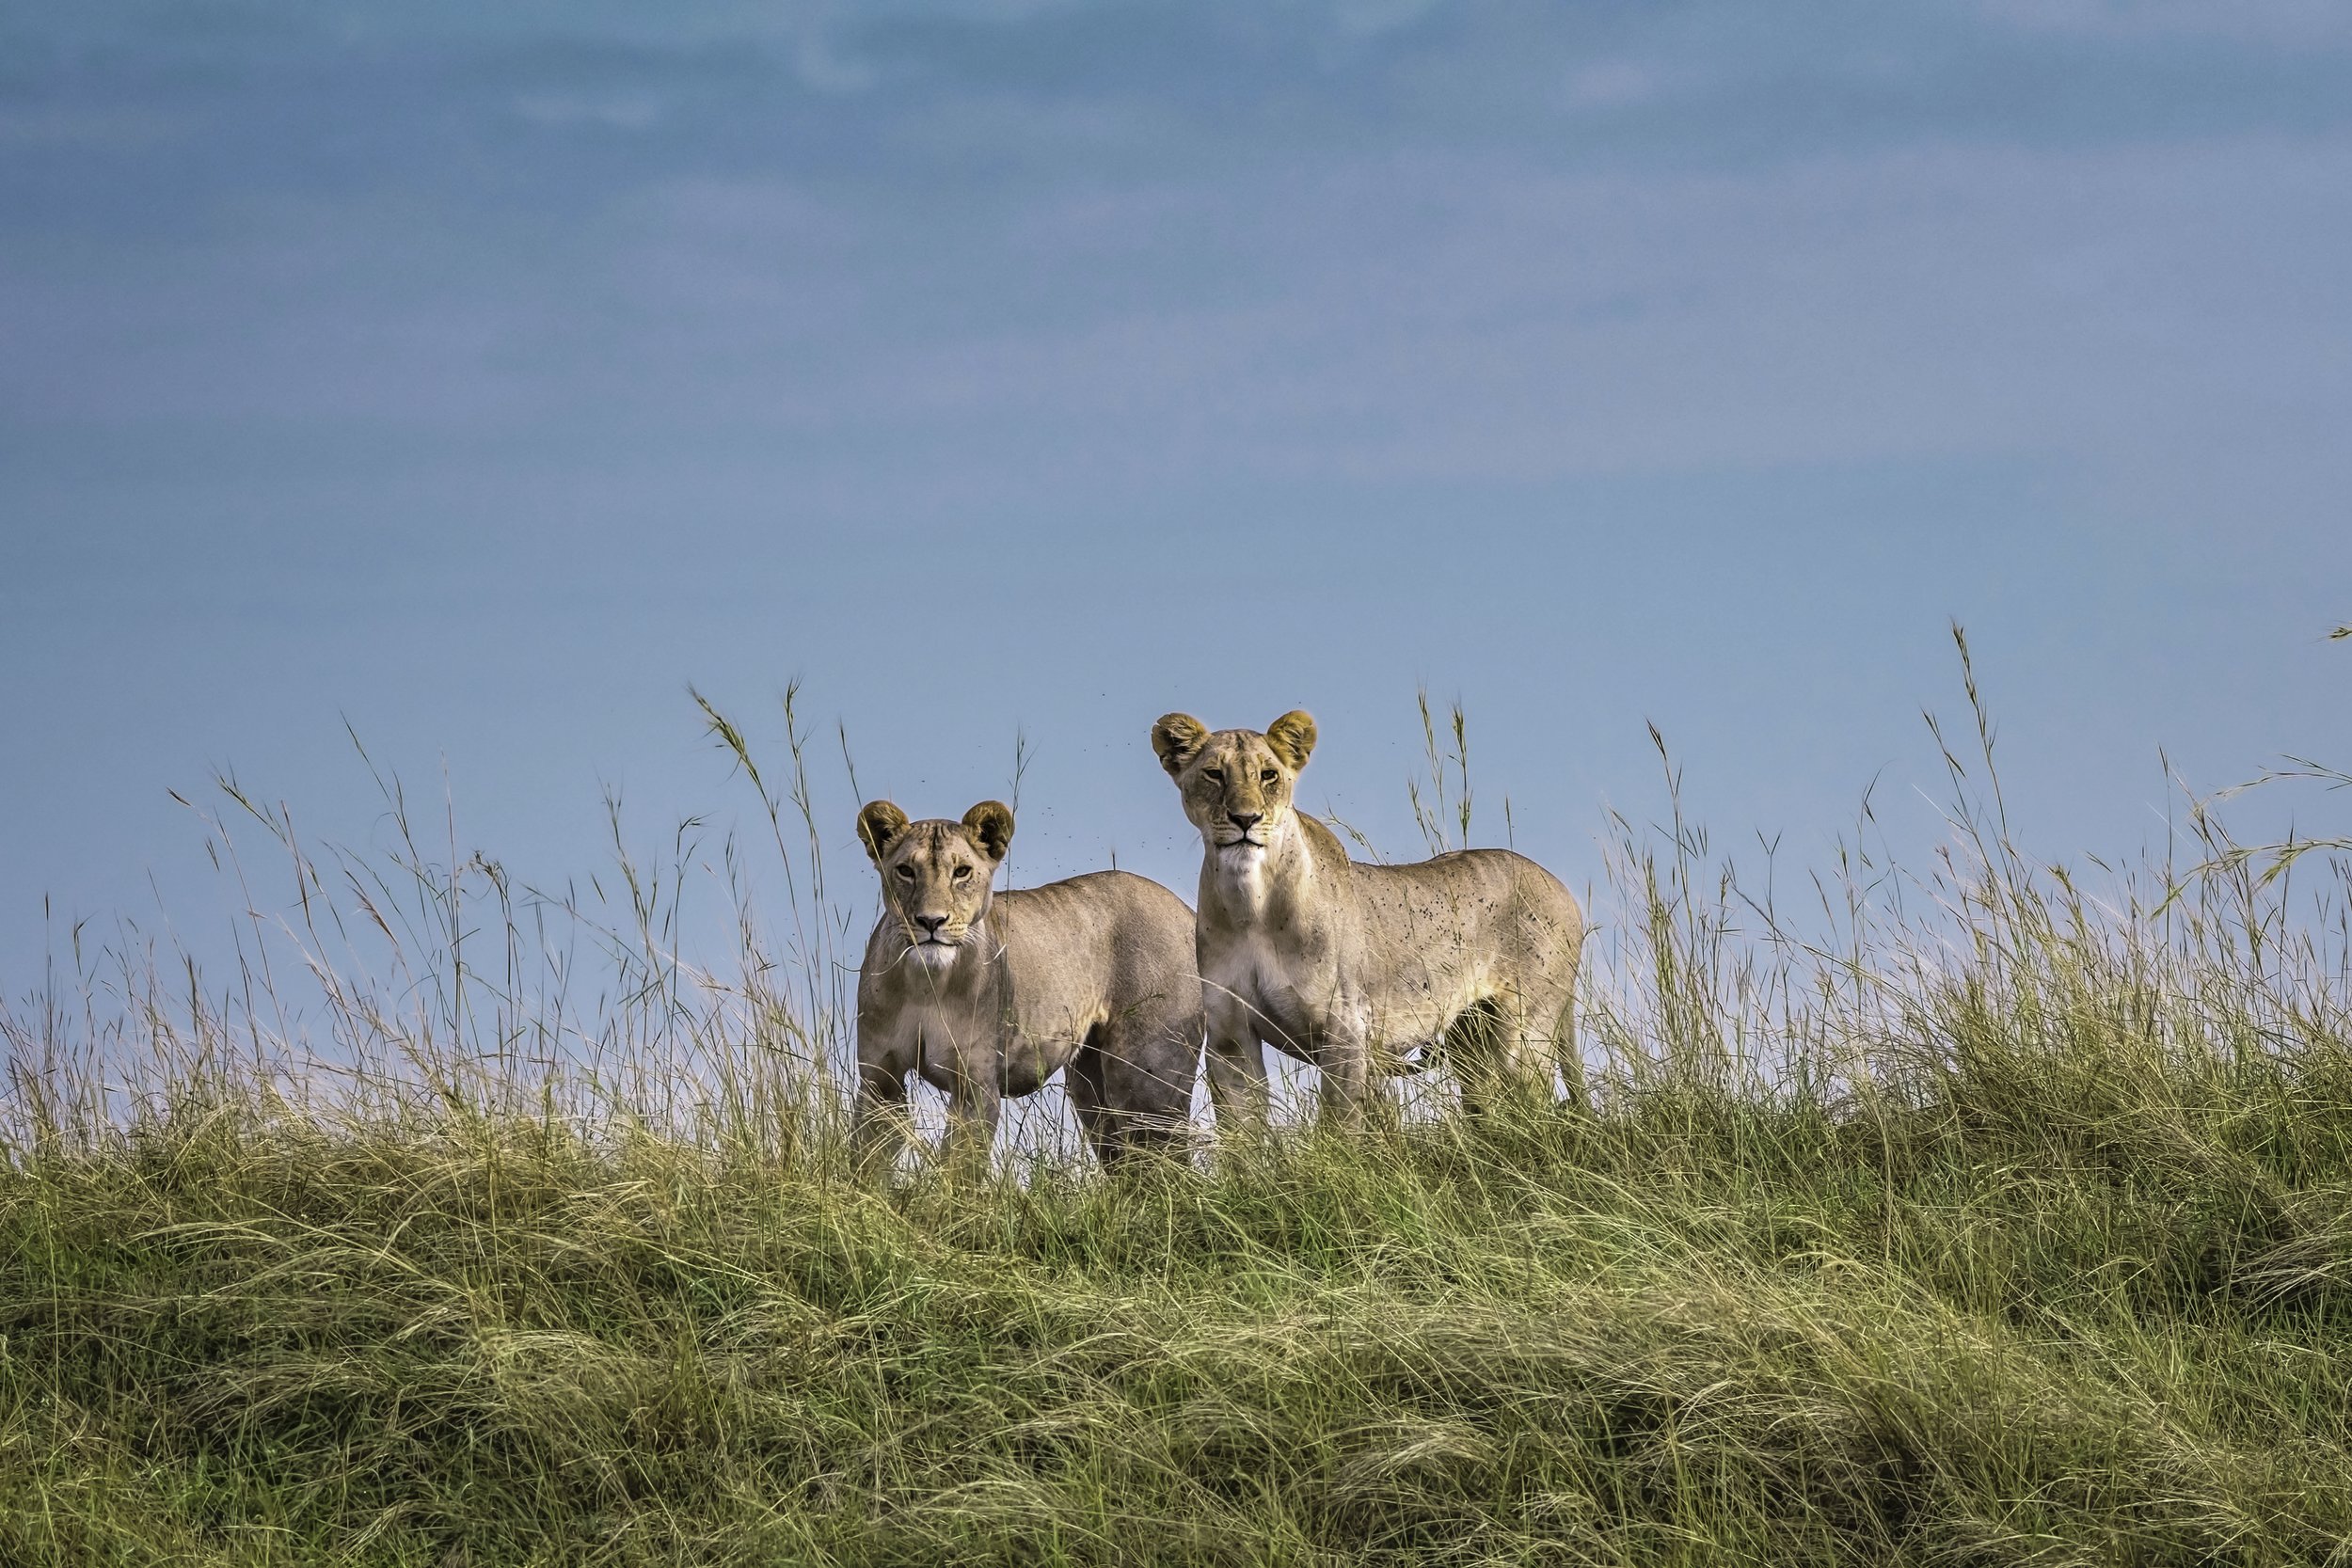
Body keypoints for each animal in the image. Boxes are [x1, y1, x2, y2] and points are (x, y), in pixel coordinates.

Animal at [852, 798, 1202, 1170]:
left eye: (961, 872)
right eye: (905, 870)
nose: (931, 921)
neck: (925, 983)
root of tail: (1185, 909)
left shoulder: (977, 1086)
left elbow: (960, 1167)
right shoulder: (879, 1081)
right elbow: (866, 1163)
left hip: (1147, 1080)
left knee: (1166, 1159)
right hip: (1090, 1086)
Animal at [1151, 711, 1586, 1131]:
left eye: (1268, 775)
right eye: (1214, 774)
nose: (1246, 818)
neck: (1251, 904)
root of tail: (1562, 888)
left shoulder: (1345, 1024)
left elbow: (1338, 1122)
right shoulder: (1230, 1034)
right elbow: (1243, 1133)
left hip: (1525, 1034)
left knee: (1533, 1104)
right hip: (1469, 1043)